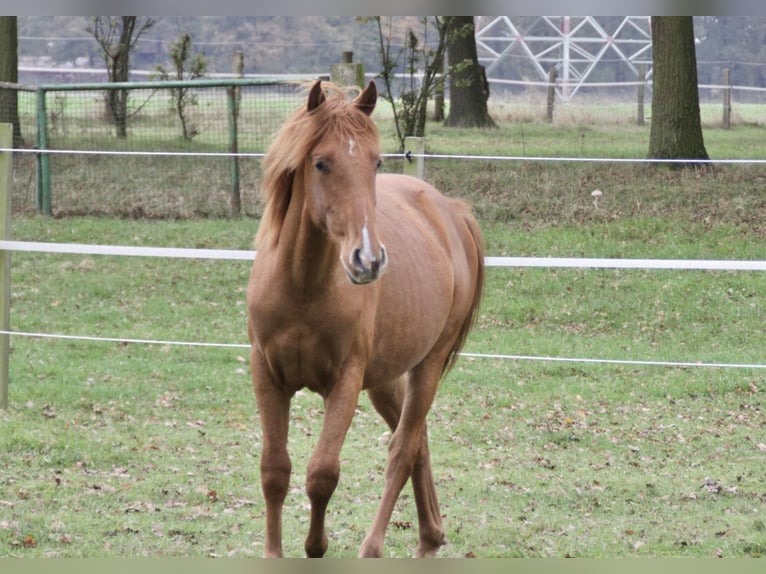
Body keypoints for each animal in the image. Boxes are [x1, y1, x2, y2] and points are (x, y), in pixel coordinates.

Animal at [248, 80, 486, 560]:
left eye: (376, 161)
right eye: (321, 162)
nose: (368, 259)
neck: (302, 285)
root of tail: (450, 210)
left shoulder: (345, 381)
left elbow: (322, 472)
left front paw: (316, 545)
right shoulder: (266, 374)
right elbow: (274, 470)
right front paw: (274, 553)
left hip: (427, 365)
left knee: (402, 448)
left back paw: (375, 547)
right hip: (386, 379)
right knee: (418, 441)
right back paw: (431, 535)